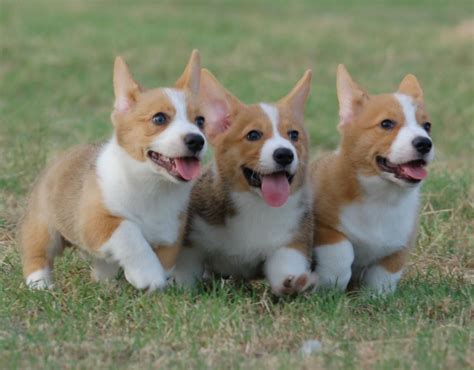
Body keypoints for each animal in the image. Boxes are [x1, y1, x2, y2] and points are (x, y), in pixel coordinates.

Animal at [18, 49, 207, 292]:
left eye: (200, 121)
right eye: (159, 118)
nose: (197, 140)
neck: (152, 185)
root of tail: (59, 158)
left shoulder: (170, 234)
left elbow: (165, 259)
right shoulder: (95, 222)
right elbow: (129, 231)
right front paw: (148, 275)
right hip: (43, 227)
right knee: (37, 254)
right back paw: (40, 284)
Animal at [172, 68, 316, 294]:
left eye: (294, 135)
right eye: (253, 135)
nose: (285, 154)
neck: (255, 204)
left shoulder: (291, 242)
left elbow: (285, 268)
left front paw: (294, 284)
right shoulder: (192, 241)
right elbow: (186, 271)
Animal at [312, 64, 436, 294]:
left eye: (427, 126)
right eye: (386, 124)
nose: (425, 143)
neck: (382, 196)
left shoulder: (400, 245)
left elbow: (385, 274)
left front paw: (375, 297)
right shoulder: (326, 228)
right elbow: (341, 253)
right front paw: (331, 284)